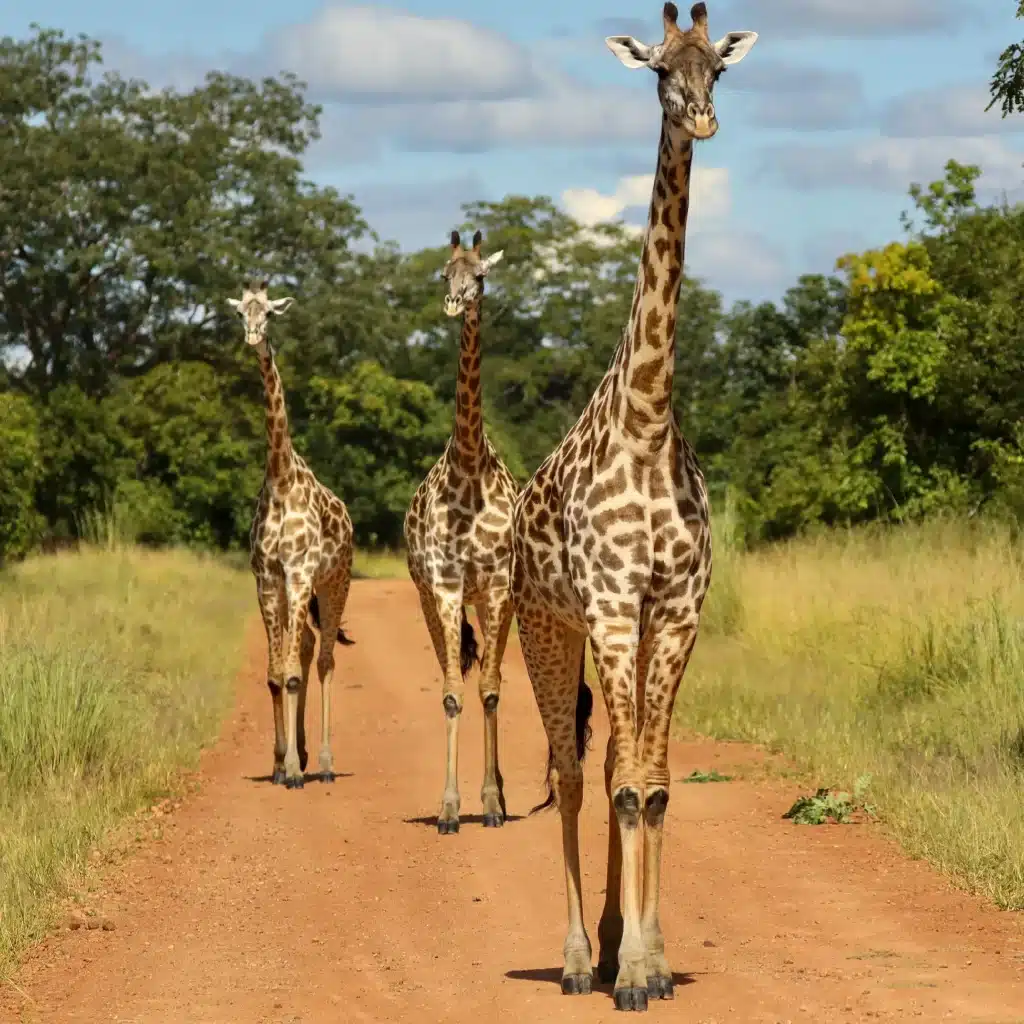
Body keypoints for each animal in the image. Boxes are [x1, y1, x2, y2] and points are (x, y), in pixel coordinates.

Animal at [230, 278, 358, 790]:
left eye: (269, 312)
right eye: (240, 312)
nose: (252, 336)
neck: (281, 476)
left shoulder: (300, 574)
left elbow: (291, 673)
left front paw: (295, 771)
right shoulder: (267, 578)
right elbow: (273, 673)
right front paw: (279, 762)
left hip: (335, 582)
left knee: (322, 661)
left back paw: (321, 763)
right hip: (298, 590)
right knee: (302, 652)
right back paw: (299, 755)